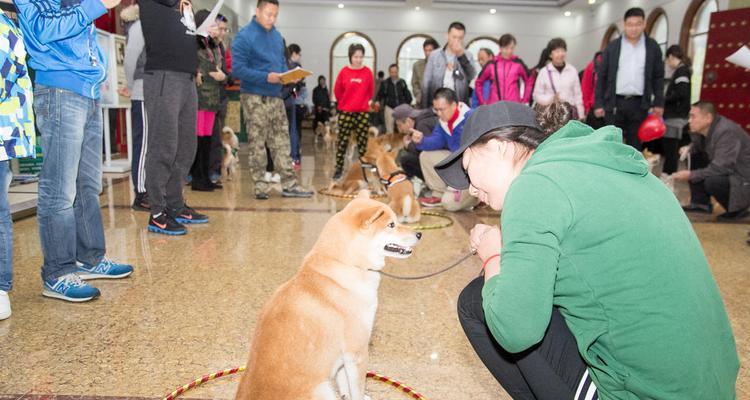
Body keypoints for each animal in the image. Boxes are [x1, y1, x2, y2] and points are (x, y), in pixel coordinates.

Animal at [235, 192, 424, 398]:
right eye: (391, 225)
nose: (419, 234)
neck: (345, 264)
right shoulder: (356, 353)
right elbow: (356, 390)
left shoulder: (343, 360)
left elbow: (346, 387)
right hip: (323, 388)